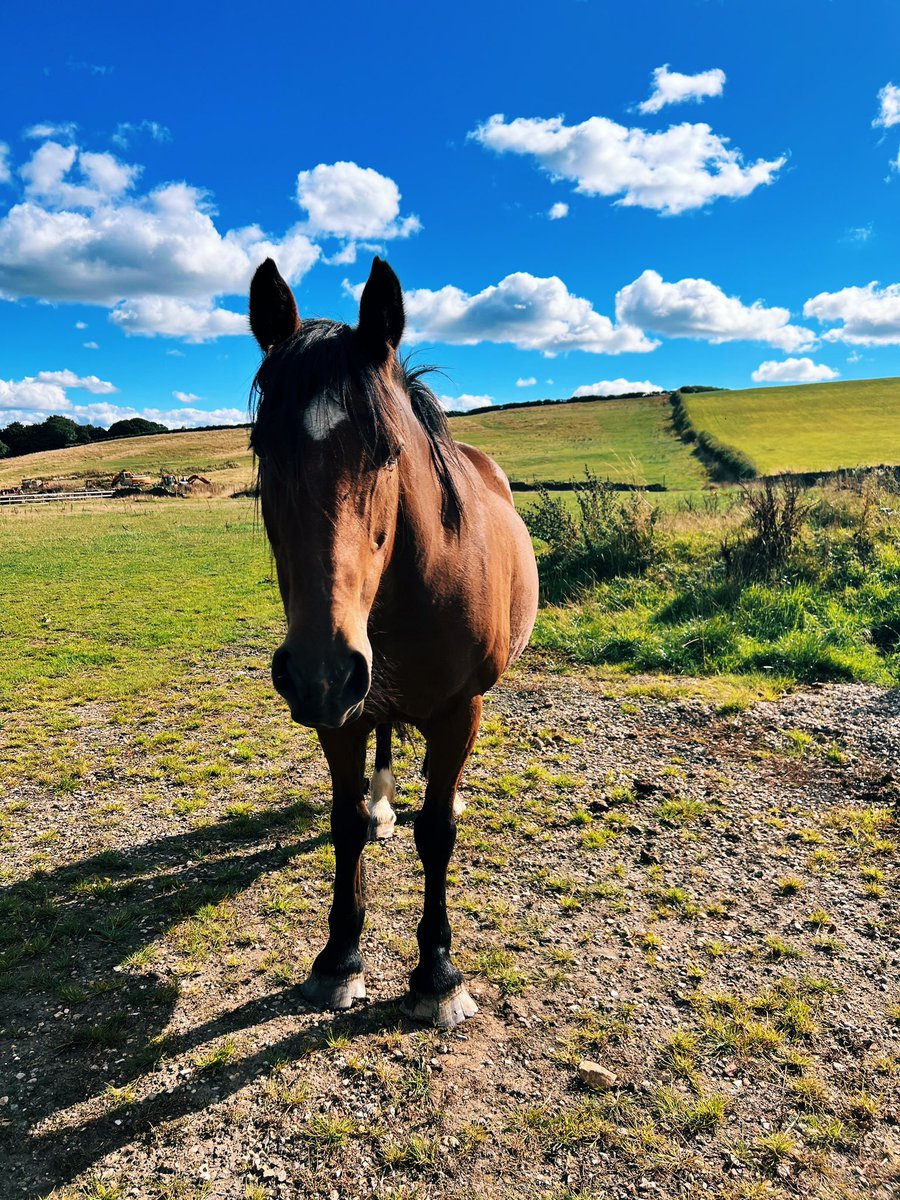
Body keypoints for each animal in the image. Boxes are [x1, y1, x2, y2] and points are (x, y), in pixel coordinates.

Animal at [248, 255, 539, 1027]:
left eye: (386, 451)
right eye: (263, 448)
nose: (319, 670)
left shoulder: (459, 709)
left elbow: (435, 834)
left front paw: (437, 974)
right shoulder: (339, 716)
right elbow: (344, 823)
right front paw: (338, 958)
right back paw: (384, 801)